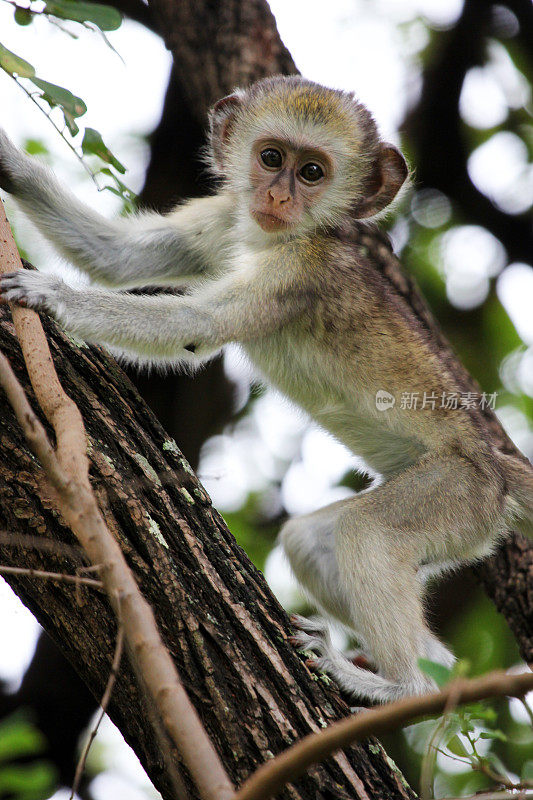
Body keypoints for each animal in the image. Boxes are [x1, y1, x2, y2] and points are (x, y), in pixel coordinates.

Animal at [1, 75, 532, 700]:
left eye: (313, 172)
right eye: (271, 158)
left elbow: (195, 326)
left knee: (369, 533)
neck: (273, 238)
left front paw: (50, 295)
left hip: (456, 491)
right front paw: (8, 162)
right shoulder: (225, 218)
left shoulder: (296, 274)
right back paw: (438, 681)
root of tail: (493, 466)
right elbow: (117, 257)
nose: (278, 198)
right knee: (311, 543)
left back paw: (401, 690)